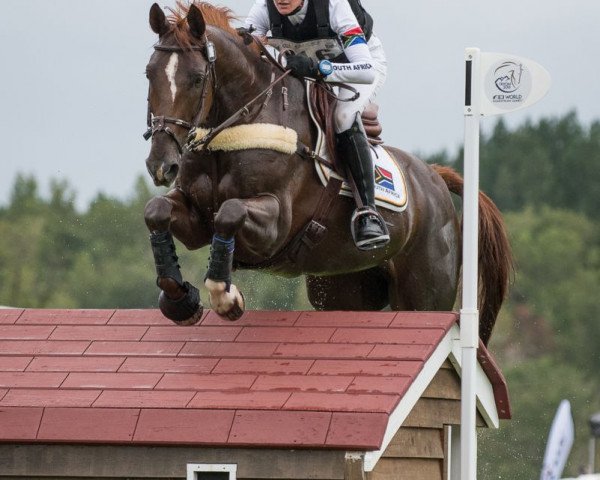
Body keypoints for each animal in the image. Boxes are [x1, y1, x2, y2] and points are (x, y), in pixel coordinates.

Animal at [142, 0, 510, 344]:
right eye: (148, 74)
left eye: (197, 79)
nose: (161, 165)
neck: (239, 123)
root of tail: (433, 177)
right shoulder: (196, 218)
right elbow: (156, 210)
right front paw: (179, 300)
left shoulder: (275, 225)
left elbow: (229, 213)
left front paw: (225, 296)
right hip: (342, 287)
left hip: (425, 292)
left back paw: (371, 225)